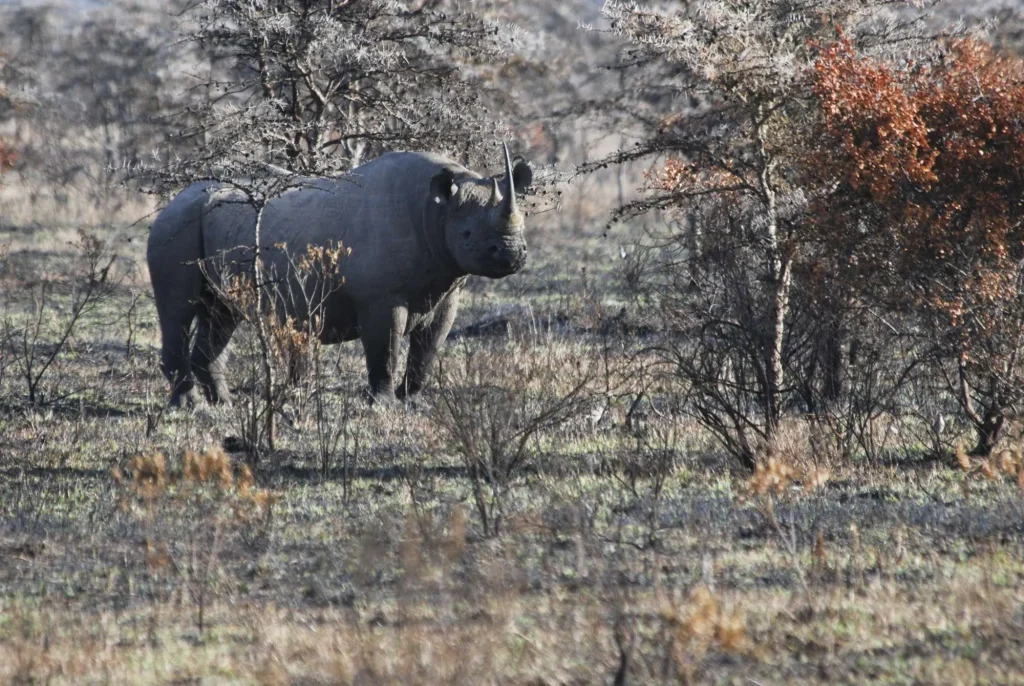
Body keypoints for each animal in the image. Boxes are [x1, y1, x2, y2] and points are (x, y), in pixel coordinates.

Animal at [147, 145, 533, 407]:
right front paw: (384, 405)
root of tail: (175, 198)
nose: (513, 254)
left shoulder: (445, 290)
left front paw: (413, 401)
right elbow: (386, 349)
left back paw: (224, 404)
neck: (437, 210)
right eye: (467, 235)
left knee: (222, 314)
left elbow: (428, 349)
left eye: (524, 225)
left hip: (207, 224)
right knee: (178, 309)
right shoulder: (381, 298)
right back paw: (191, 406)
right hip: (176, 226)